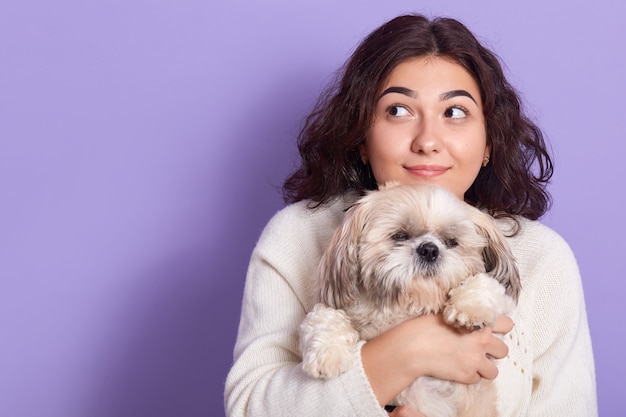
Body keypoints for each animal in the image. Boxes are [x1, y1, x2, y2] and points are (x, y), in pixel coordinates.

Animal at [300, 182, 520, 416]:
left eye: (451, 242)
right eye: (399, 236)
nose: (429, 249)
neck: (408, 305)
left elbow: (488, 284)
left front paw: (469, 309)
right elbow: (324, 315)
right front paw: (327, 354)